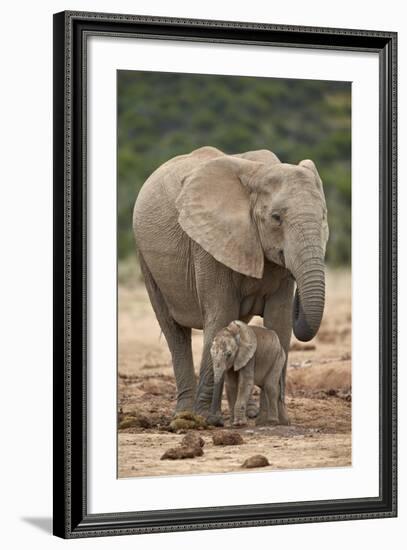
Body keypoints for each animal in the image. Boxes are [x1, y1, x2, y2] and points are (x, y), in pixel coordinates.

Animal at [132, 147, 330, 426]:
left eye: (323, 216)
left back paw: (247, 413)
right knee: (174, 330)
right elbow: (221, 314)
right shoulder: (208, 244)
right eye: (276, 218)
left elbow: (279, 322)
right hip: (146, 260)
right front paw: (206, 418)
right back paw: (184, 414)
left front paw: (277, 421)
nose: (213, 420)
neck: (259, 172)